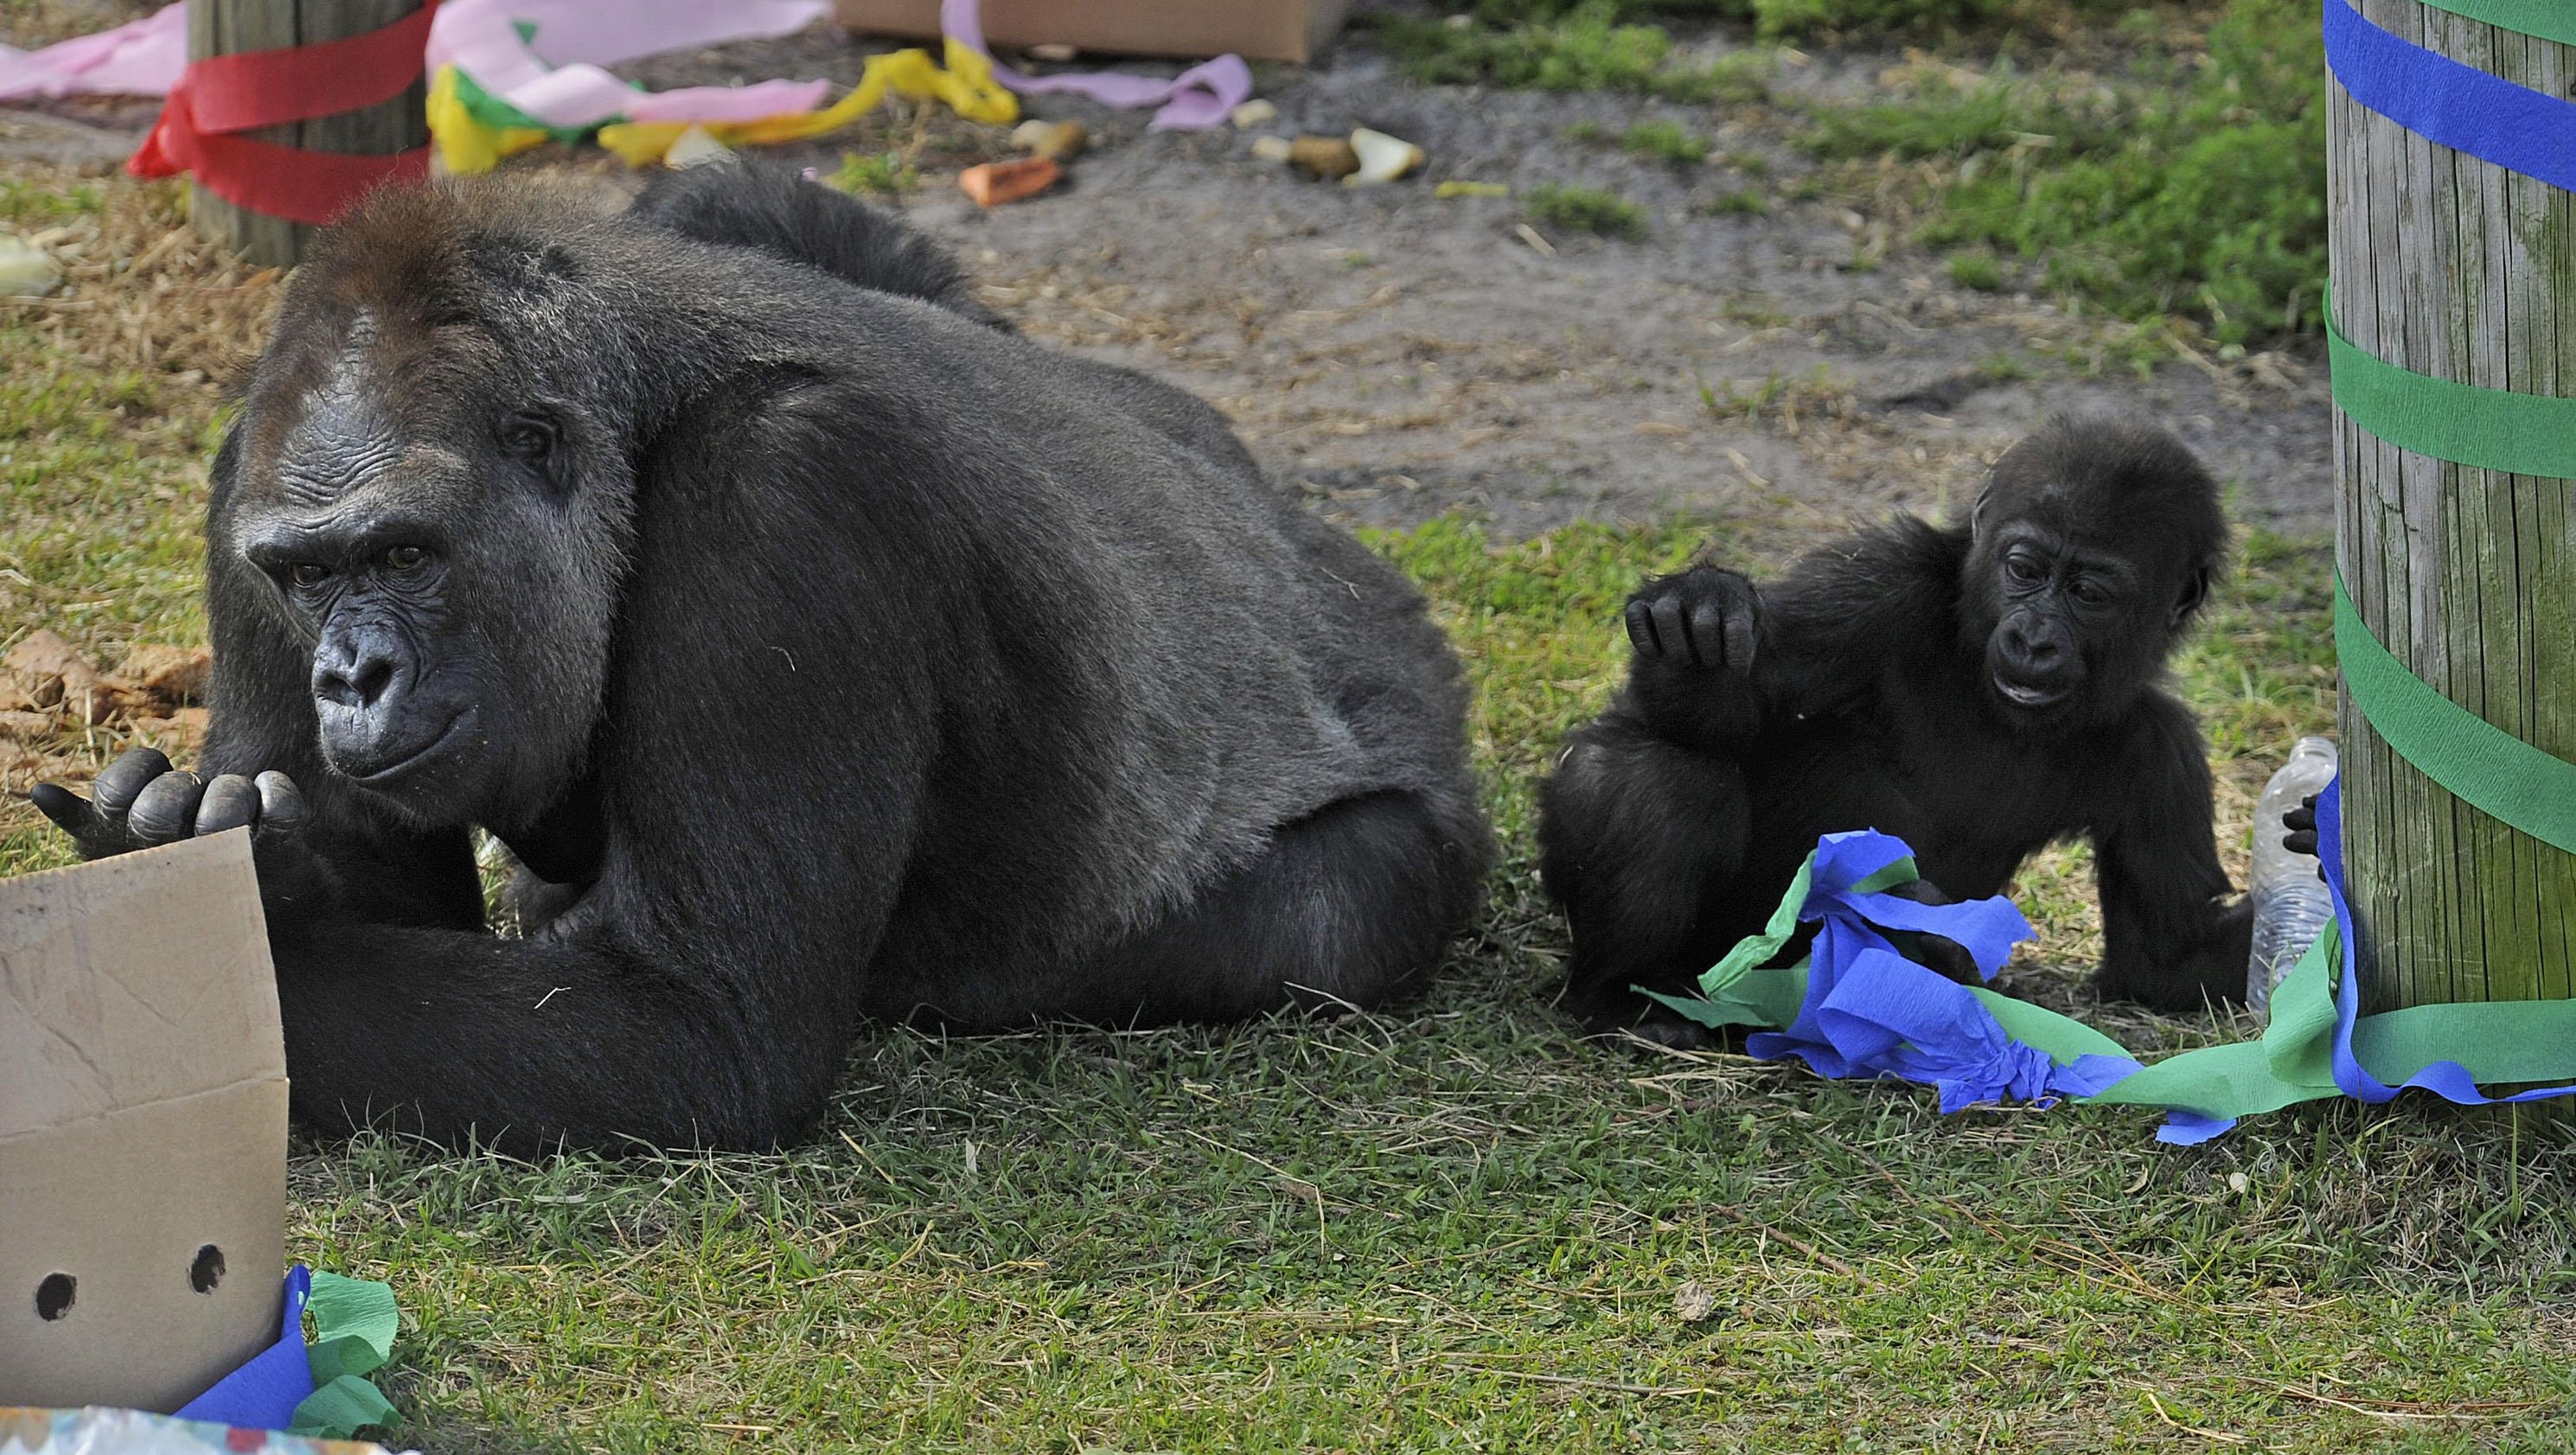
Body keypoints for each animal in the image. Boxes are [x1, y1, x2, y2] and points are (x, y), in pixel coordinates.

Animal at [30, 167, 1493, 1148]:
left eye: (404, 554)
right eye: (308, 574)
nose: (351, 676)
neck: (631, 426)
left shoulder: (790, 497)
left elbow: (703, 1029)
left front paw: (204, 933)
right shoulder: (244, 480)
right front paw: (225, 855)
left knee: (1341, 903)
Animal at [1545, 414, 2256, 1040]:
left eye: (2089, 593)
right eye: (2024, 570)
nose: (2033, 640)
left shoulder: (2161, 753)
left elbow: (2166, 962)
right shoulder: (1878, 579)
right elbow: (1695, 716)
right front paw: (1700, 611)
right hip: (1715, 964)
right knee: (1659, 775)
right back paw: (1622, 992)